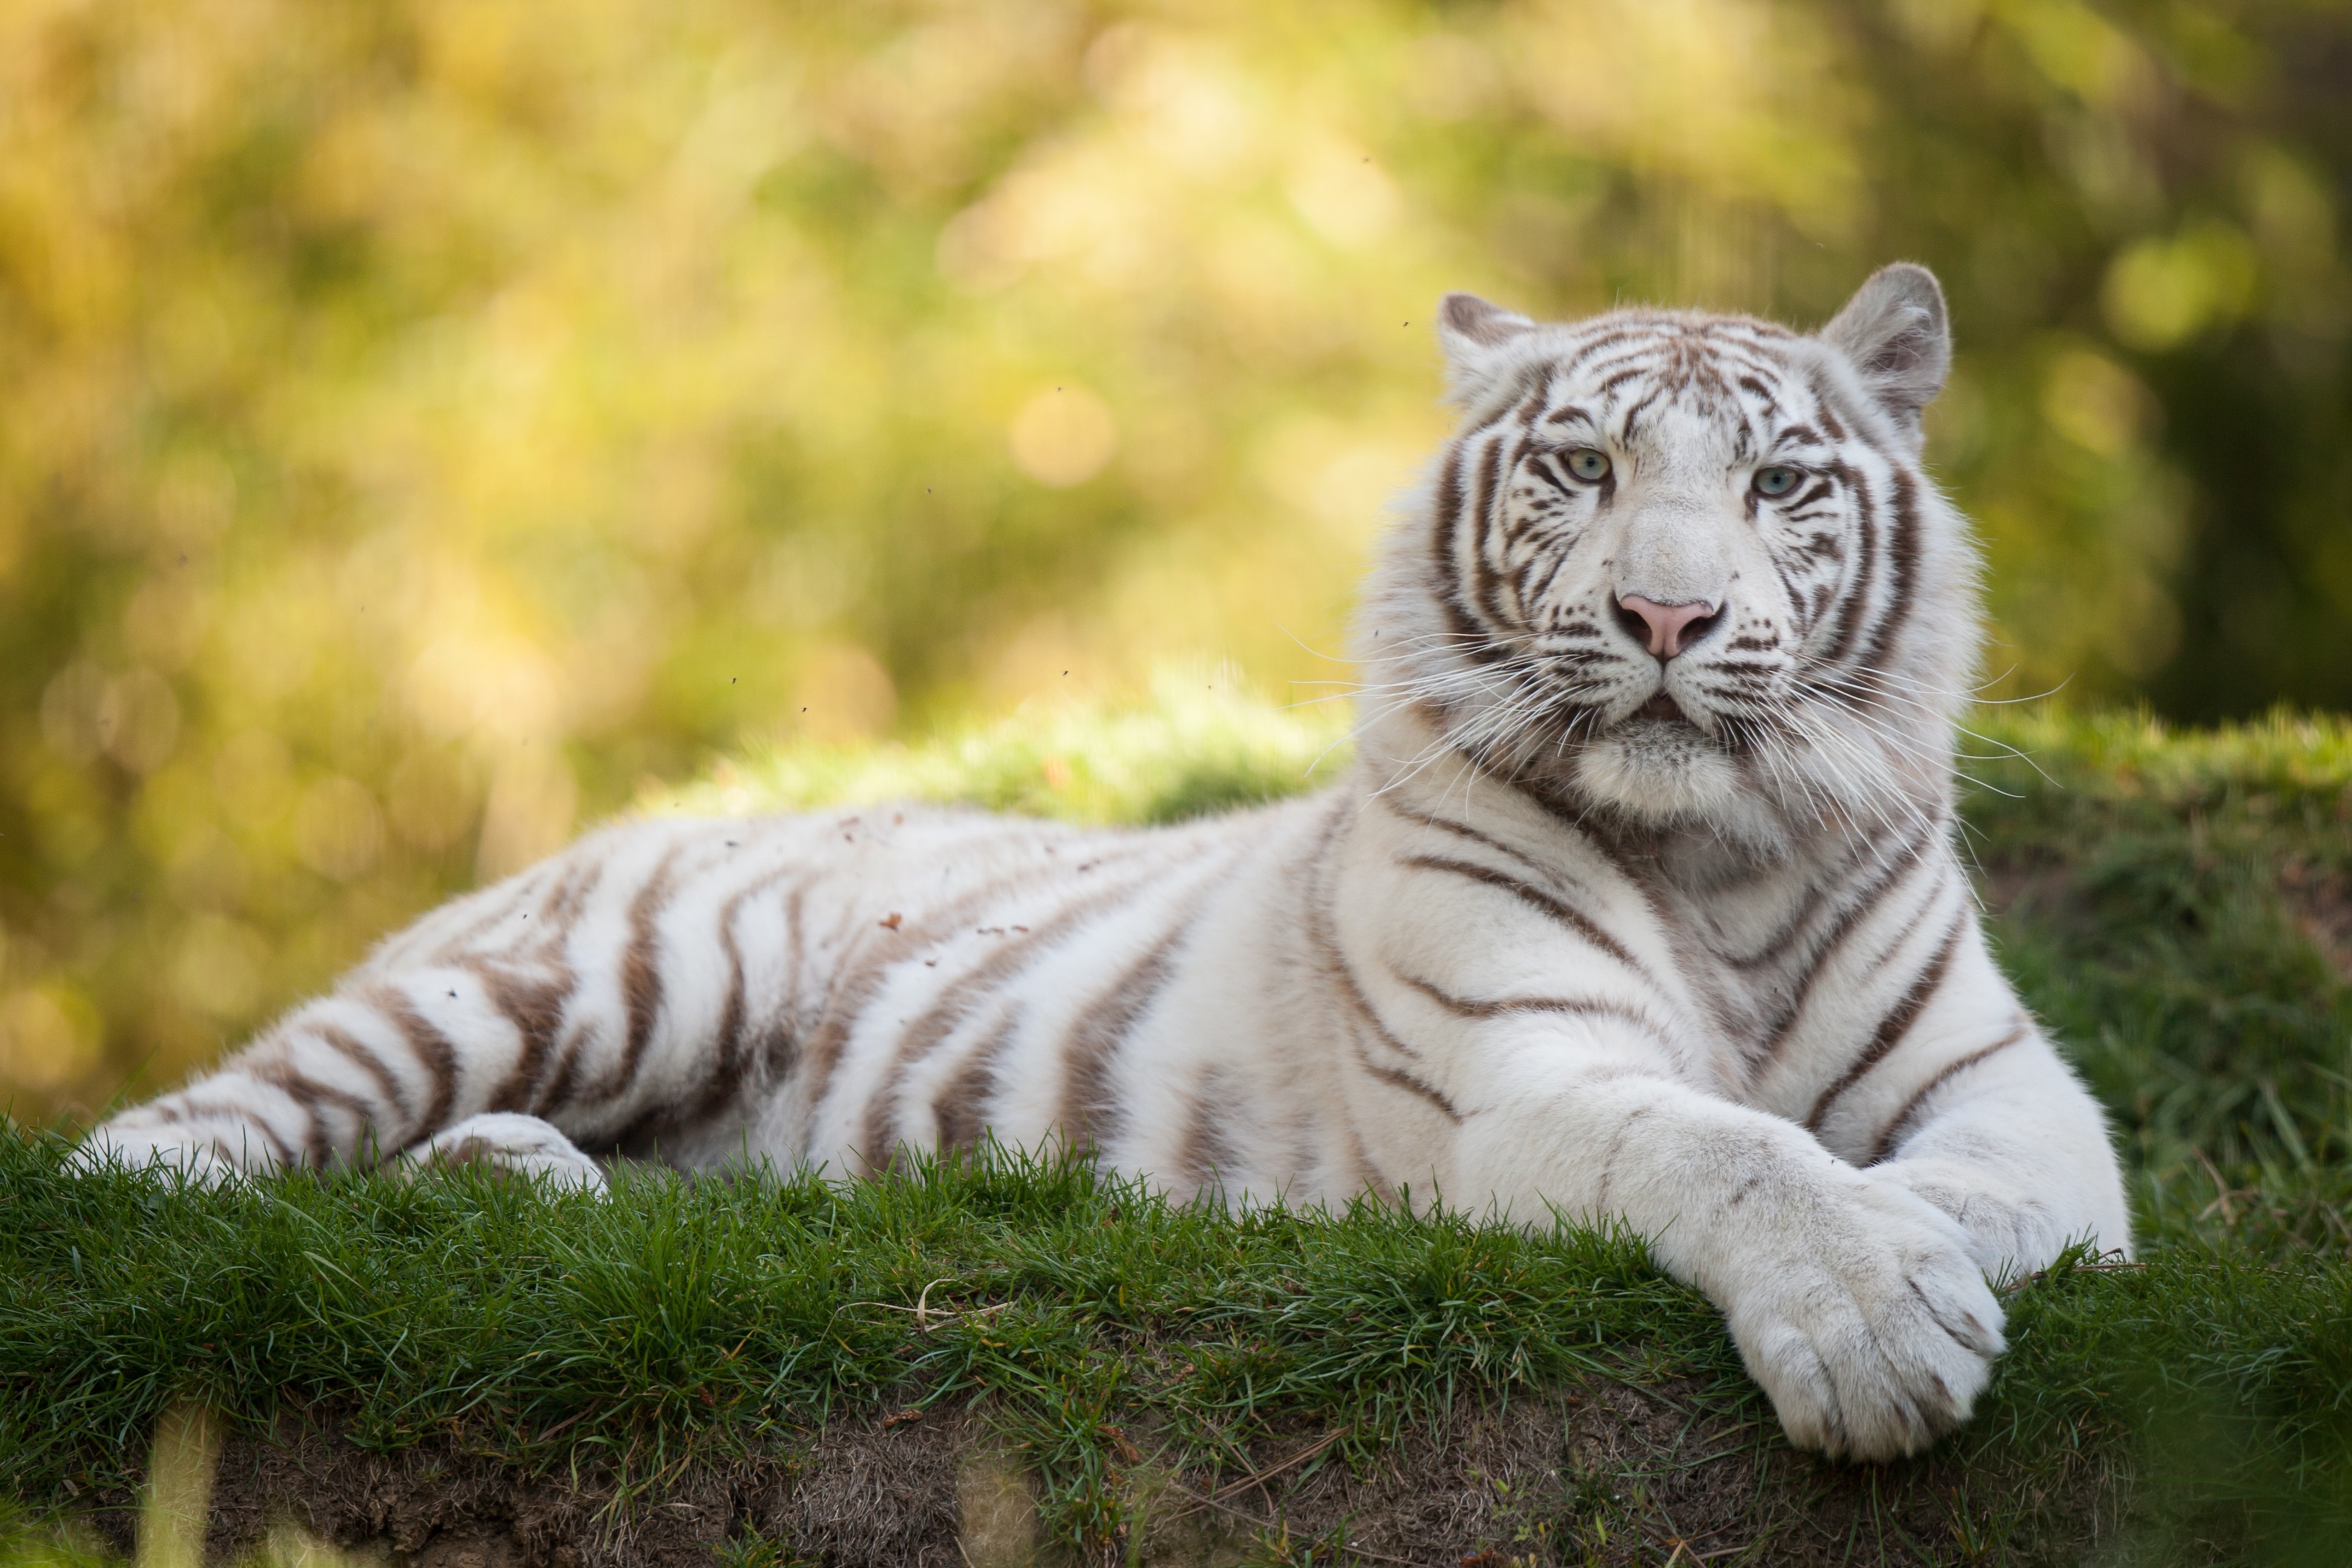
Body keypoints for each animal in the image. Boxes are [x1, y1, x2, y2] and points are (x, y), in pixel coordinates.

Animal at [77, 264, 2132, 1462]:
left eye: (1781, 482)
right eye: (1580, 470)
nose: (1667, 614)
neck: (1721, 868)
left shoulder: (2021, 1102)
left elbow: (1981, 1191)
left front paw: (1921, 1260)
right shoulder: (1519, 1082)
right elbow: (1728, 1147)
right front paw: (1873, 1320)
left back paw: (517, 1188)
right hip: (600, 977)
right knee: (188, 1138)